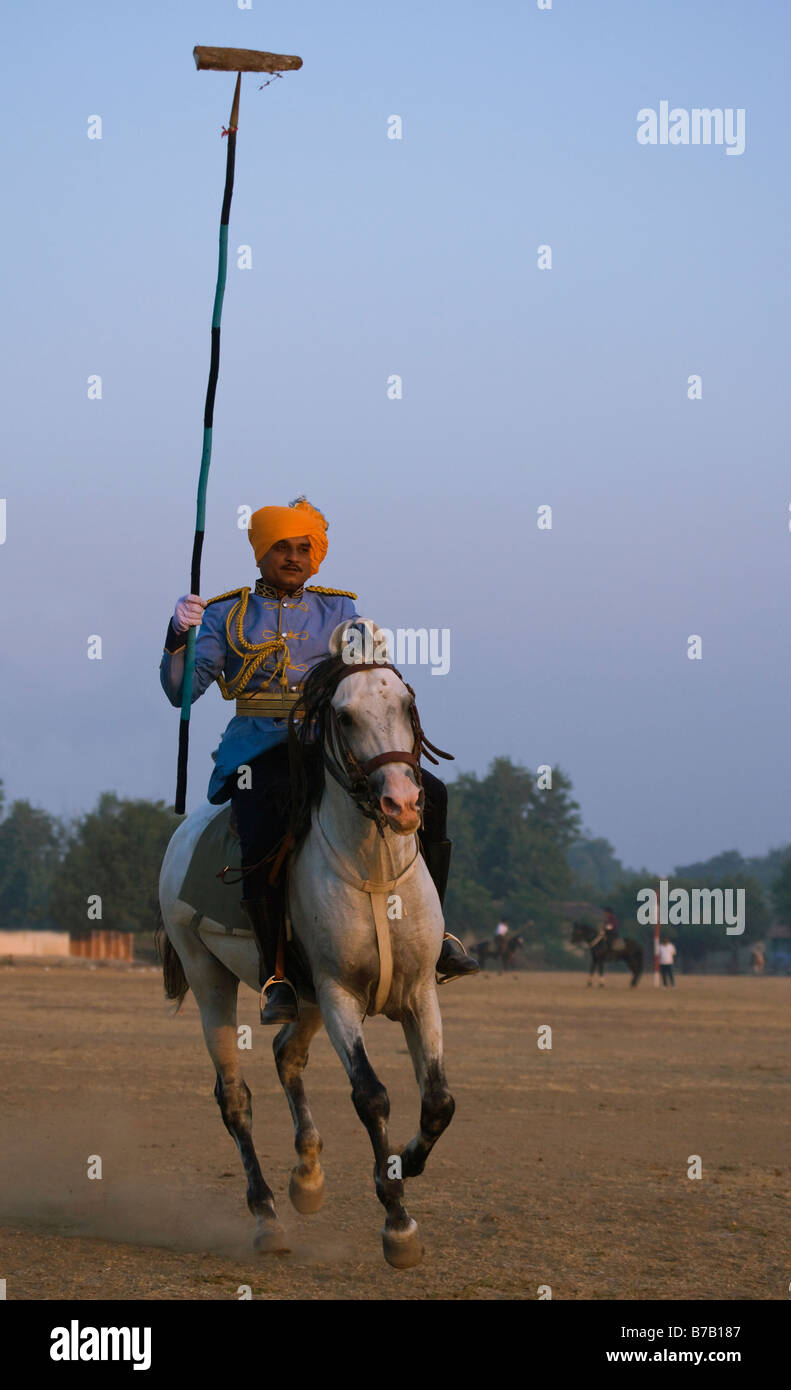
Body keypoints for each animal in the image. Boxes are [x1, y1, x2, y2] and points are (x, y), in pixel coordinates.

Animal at [157, 640, 457, 1269]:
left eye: (407, 704)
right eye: (343, 717)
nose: (402, 803)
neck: (374, 869)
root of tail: (182, 837)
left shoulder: (418, 991)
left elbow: (438, 1100)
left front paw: (407, 1162)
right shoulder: (340, 994)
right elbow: (371, 1095)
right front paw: (398, 1222)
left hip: (307, 997)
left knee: (285, 1054)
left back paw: (308, 1178)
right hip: (209, 976)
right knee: (234, 1096)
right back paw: (267, 1216)